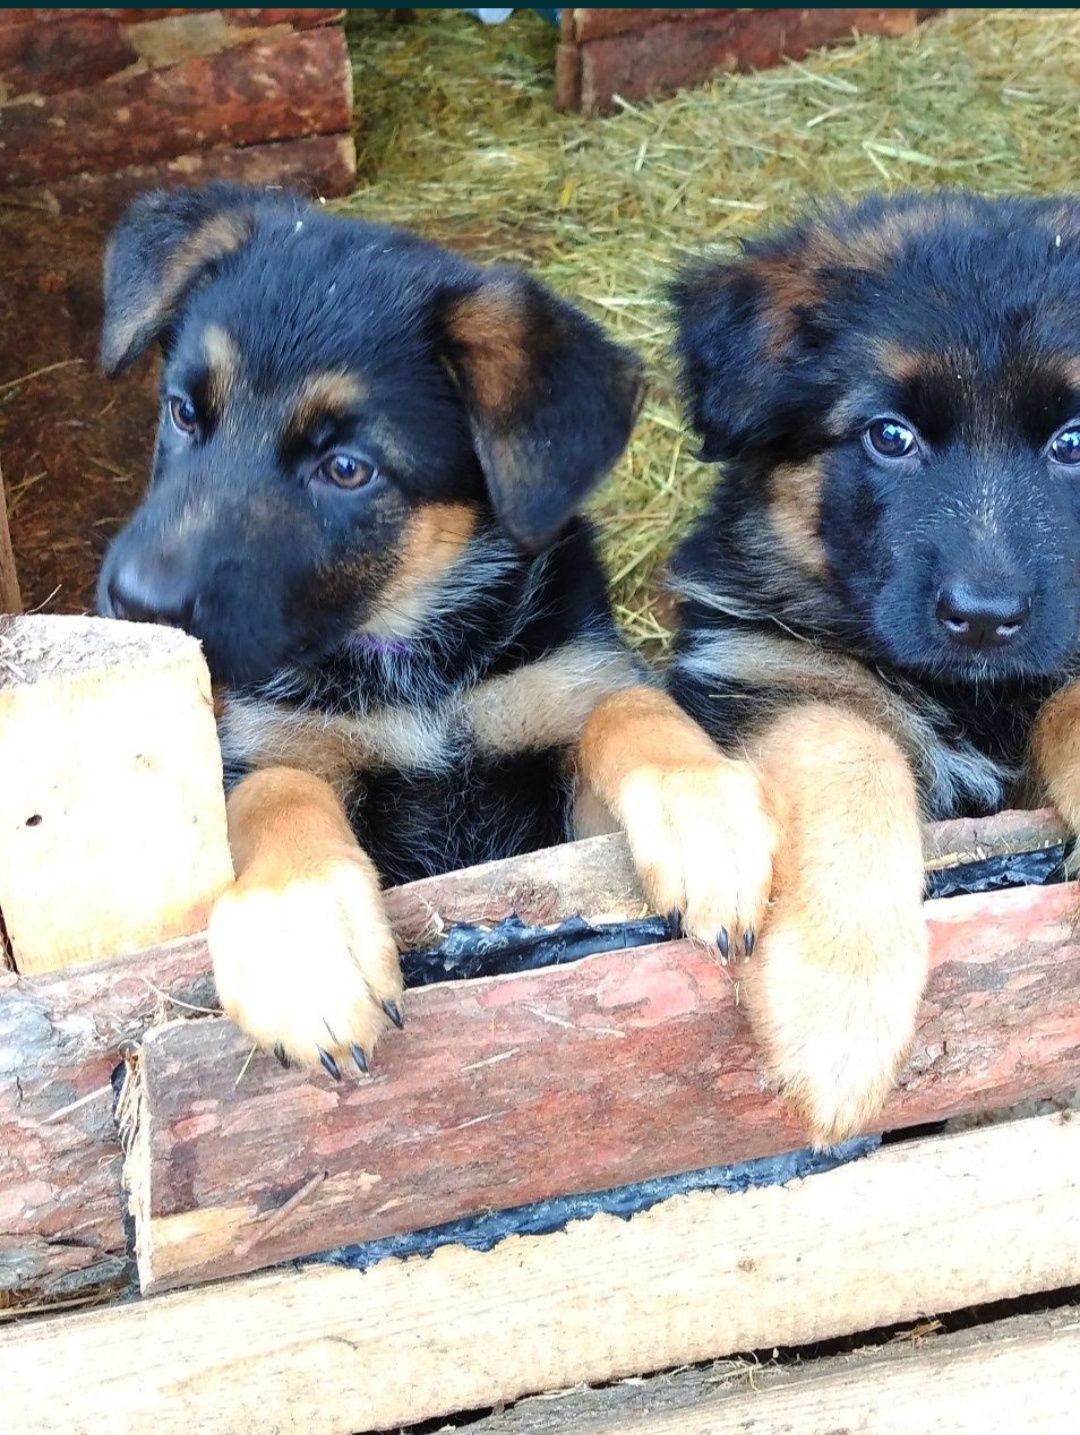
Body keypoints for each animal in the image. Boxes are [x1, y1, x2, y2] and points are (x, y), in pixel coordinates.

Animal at [96, 179, 763, 1079]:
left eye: (347, 469)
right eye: (182, 413)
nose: (135, 600)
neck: (413, 652)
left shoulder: (560, 721)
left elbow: (626, 708)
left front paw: (707, 810)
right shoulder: (273, 742)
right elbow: (279, 792)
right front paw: (304, 936)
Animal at [648, 193, 1078, 1142]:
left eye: (1075, 441)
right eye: (891, 436)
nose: (984, 618)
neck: (969, 694)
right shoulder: (763, 669)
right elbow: (852, 750)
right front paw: (837, 1008)